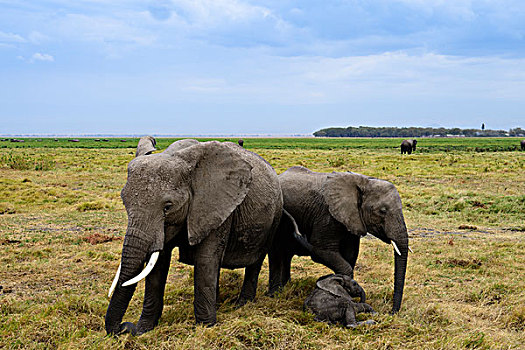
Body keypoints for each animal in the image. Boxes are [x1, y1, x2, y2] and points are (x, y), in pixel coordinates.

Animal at [103, 136, 282, 334]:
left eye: (168, 207)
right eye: (124, 202)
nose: (125, 327)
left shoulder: (215, 206)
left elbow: (205, 260)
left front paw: (205, 328)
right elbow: (158, 264)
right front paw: (144, 330)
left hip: (274, 217)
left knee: (255, 262)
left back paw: (242, 305)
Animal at [270, 167, 410, 314]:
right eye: (382, 211)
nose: (391, 312)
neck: (364, 181)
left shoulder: (352, 219)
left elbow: (351, 254)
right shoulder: (326, 215)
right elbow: (322, 252)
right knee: (277, 254)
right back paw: (275, 294)